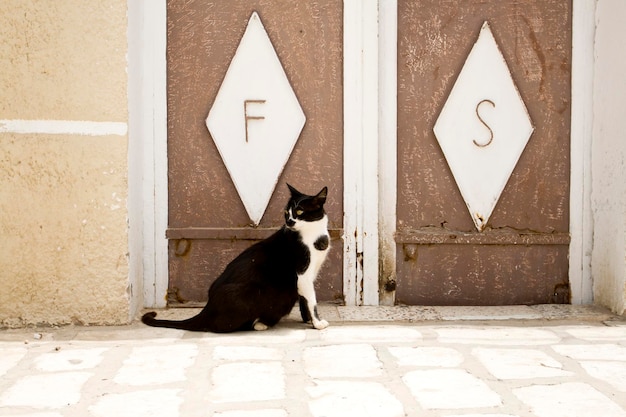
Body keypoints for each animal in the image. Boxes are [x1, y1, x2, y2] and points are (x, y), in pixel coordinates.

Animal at [140, 184, 326, 334]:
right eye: (286, 212)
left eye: (300, 211)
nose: (289, 222)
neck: (313, 235)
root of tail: (207, 309)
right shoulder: (303, 274)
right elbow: (312, 300)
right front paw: (317, 323)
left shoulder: (308, 277)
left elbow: (304, 300)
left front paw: (308, 320)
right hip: (250, 292)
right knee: (219, 327)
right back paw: (261, 323)